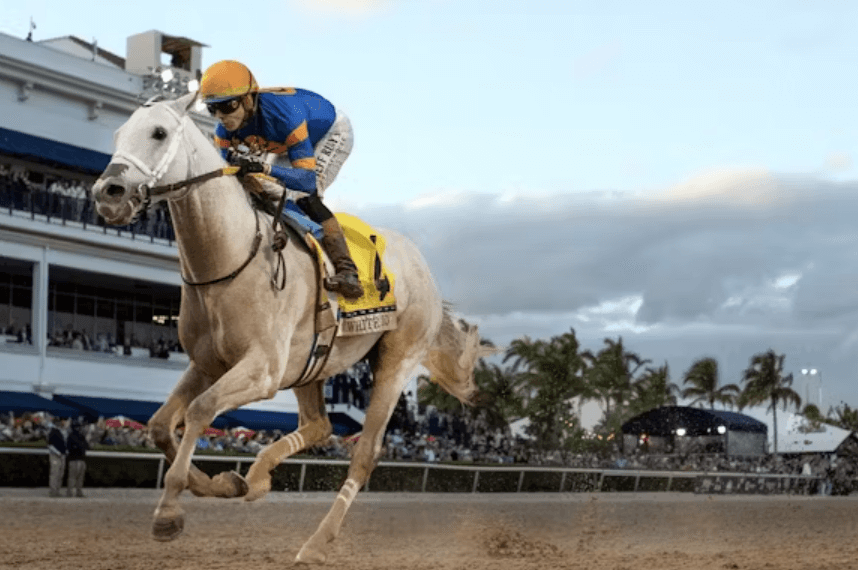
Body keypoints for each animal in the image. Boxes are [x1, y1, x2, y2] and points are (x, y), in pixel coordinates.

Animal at [90, 92, 487, 564]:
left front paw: (168, 512)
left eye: (158, 133)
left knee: (365, 453)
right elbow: (159, 424)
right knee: (319, 427)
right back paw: (258, 477)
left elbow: (200, 410)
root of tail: (422, 266)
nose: (108, 193)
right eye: (118, 134)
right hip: (311, 362)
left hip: (396, 360)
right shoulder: (206, 363)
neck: (230, 257)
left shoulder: (262, 370)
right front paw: (225, 483)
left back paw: (316, 541)